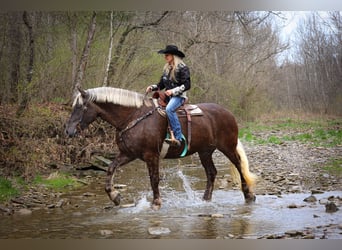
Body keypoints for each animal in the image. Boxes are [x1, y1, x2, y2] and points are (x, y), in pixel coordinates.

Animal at [65, 87, 255, 209]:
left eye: (80, 107)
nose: (68, 131)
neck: (133, 117)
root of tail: (228, 113)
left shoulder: (151, 155)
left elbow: (154, 179)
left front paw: (156, 202)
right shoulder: (127, 154)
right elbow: (110, 169)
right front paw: (115, 197)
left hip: (227, 147)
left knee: (238, 166)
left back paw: (249, 196)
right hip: (205, 152)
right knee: (211, 173)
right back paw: (205, 200)